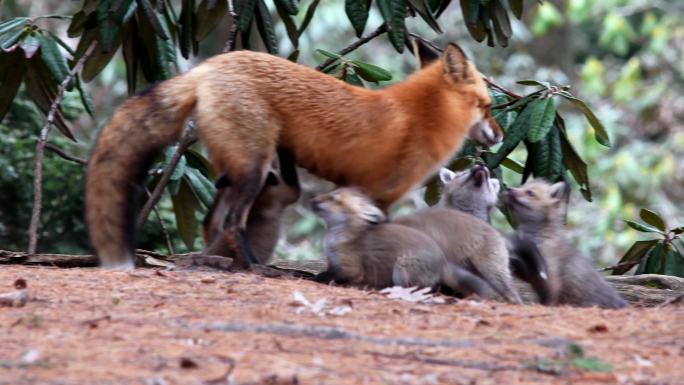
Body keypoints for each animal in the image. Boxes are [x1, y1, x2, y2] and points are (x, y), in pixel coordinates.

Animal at [87, 43, 502, 268]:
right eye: (487, 106)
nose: (498, 137)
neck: (420, 117)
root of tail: (208, 66)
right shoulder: (378, 194)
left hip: (233, 170)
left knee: (213, 221)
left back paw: (220, 261)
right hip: (253, 169)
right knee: (234, 222)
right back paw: (256, 267)